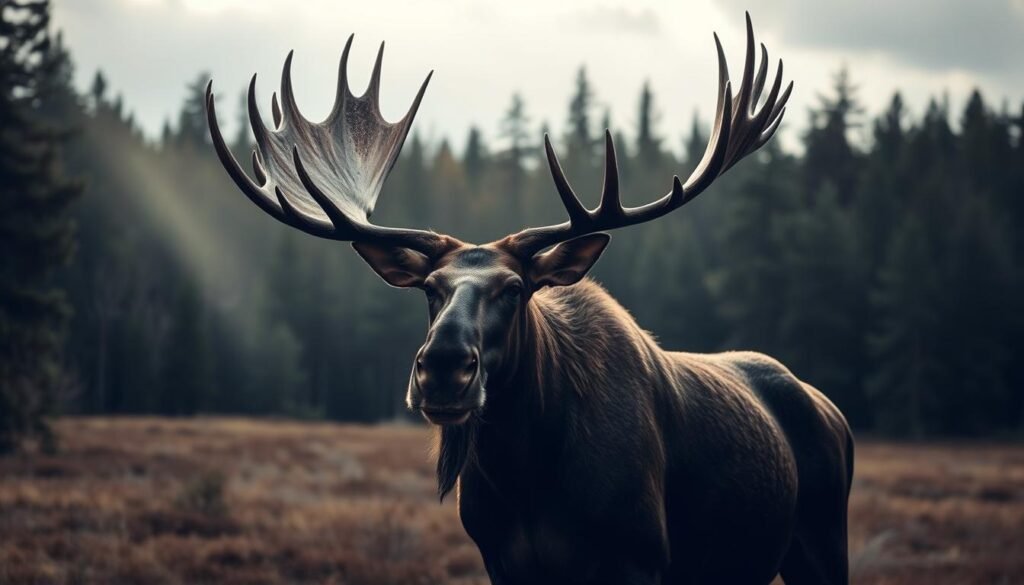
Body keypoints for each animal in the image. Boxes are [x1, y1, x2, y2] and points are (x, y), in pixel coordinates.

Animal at [206, 14, 853, 585]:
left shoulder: (641, 557)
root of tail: (836, 415)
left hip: (822, 542)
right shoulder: (504, 563)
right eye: (430, 290)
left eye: (515, 289)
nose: (443, 368)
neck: (528, 477)